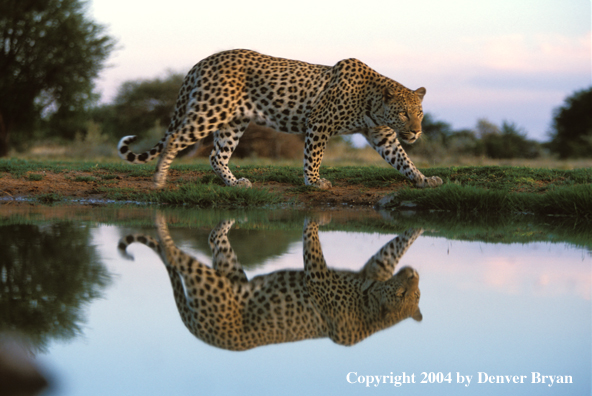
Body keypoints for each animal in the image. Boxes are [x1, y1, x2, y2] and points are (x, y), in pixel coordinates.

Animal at [118, 48, 442, 191]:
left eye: (419, 113)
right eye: (403, 113)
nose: (416, 132)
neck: (372, 102)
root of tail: (203, 61)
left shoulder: (381, 135)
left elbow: (402, 159)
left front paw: (423, 179)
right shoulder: (319, 123)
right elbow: (313, 156)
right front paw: (314, 182)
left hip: (233, 122)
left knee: (216, 155)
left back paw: (235, 183)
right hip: (211, 111)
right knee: (174, 138)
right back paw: (159, 180)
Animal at [118, 212, 420, 352]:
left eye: (415, 295)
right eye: (404, 294)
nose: (414, 274)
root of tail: (201, 334)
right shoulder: (321, 275)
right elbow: (312, 241)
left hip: (224, 277)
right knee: (177, 252)